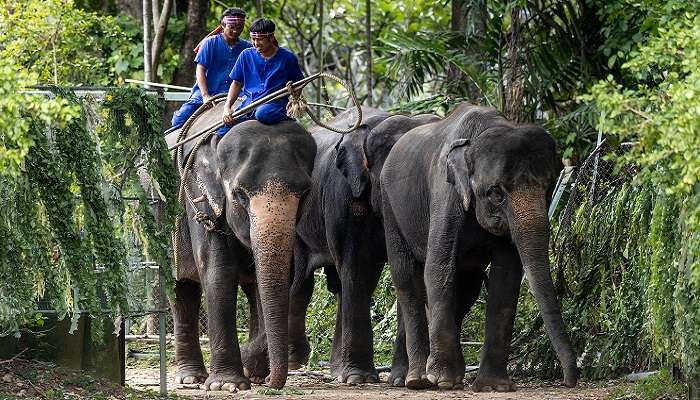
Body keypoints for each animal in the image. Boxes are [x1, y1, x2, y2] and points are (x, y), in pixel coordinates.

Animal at [166, 101, 314, 390]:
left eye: (305, 194)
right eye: (239, 195)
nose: (273, 383)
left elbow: (281, 278)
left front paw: (251, 369)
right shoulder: (198, 197)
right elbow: (218, 273)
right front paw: (226, 384)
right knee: (180, 289)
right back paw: (191, 378)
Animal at [380, 102, 576, 390]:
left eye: (548, 186)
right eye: (496, 192)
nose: (569, 380)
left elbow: (506, 278)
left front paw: (494, 386)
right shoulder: (445, 194)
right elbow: (438, 267)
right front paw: (444, 381)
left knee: (465, 288)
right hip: (389, 208)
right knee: (406, 277)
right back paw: (415, 379)